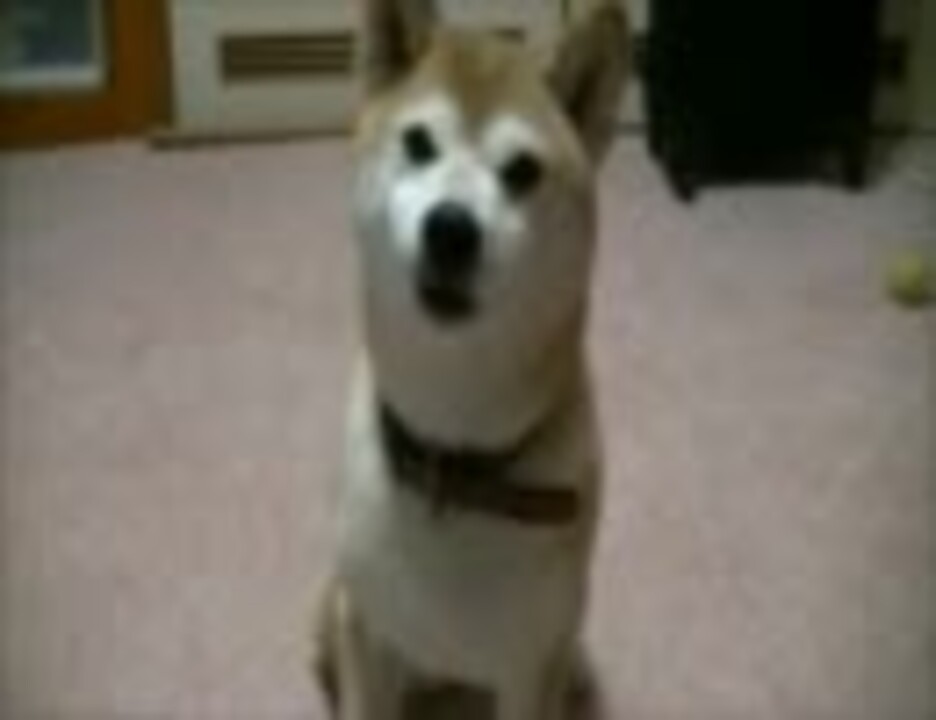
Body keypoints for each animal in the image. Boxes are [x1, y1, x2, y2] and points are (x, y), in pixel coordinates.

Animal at [315, 1, 630, 718]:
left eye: (523, 171)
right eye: (418, 143)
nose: (451, 229)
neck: (455, 471)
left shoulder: (529, 667)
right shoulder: (368, 636)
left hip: (562, 649)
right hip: (334, 610)